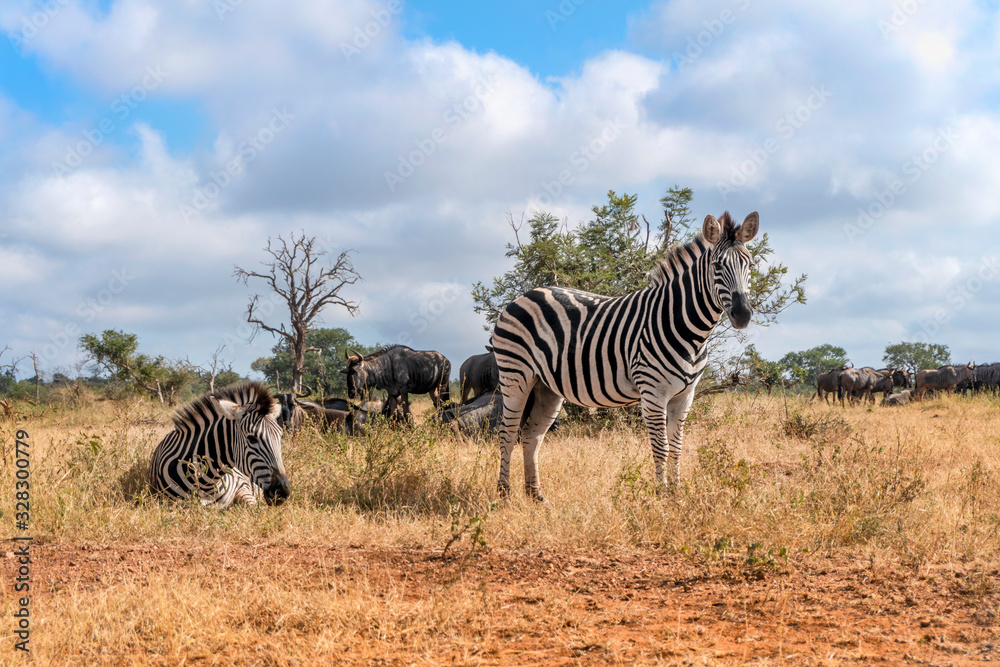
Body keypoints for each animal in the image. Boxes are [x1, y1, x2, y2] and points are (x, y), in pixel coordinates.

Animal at [149, 381, 291, 508]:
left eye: (280, 437)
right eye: (251, 439)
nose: (283, 491)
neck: (205, 484)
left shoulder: (242, 485)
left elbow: (254, 507)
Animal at [490, 211, 759, 501]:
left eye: (751, 265)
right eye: (717, 266)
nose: (743, 315)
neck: (688, 330)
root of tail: (523, 296)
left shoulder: (685, 395)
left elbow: (677, 447)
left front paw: (677, 495)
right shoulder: (653, 392)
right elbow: (661, 447)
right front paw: (661, 495)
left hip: (546, 386)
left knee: (532, 434)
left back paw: (535, 495)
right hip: (515, 375)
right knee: (507, 433)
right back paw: (504, 493)